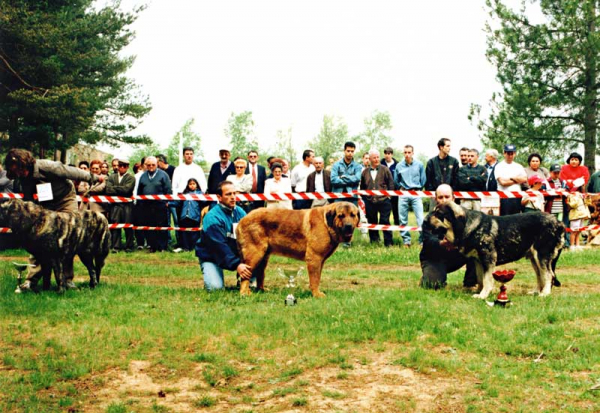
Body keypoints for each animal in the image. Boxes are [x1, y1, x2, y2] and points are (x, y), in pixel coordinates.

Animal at [426, 201, 564, 298]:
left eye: (438, 214)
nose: (425, 220)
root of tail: (559, 223)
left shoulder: (488, 257)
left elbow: (487, 279)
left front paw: (483, 295)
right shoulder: (478, 260)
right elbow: (480, 279)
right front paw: (479, 291)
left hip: (542, 255)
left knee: (548, 275)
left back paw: (544, 293)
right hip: (534, 259)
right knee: (540, 275)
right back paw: (535, 292)